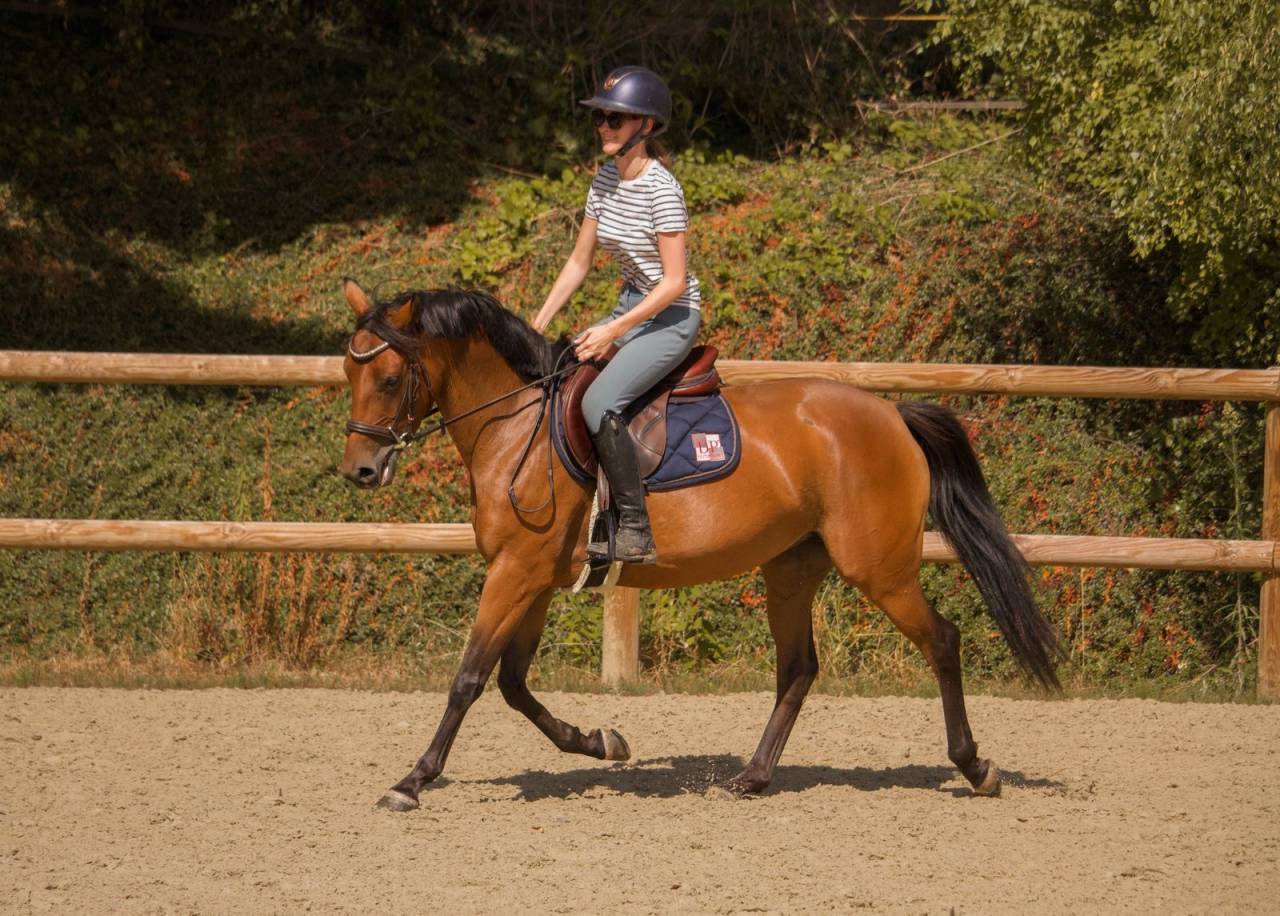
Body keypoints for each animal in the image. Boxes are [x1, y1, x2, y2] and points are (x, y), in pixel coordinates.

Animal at [337, 278, 1061, 812]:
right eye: (349, 372)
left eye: (391, 378)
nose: (360, 472)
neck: (518, 427)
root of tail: (892, 414)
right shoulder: (534, 576)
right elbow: (513, 683)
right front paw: (603, 741)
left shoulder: (516, 572)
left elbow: (468, 678)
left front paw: (412, 781)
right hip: (792, 567)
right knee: (798, 668)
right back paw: (753, 777)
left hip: (877, 569)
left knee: (941, 641)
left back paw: (976, 768)